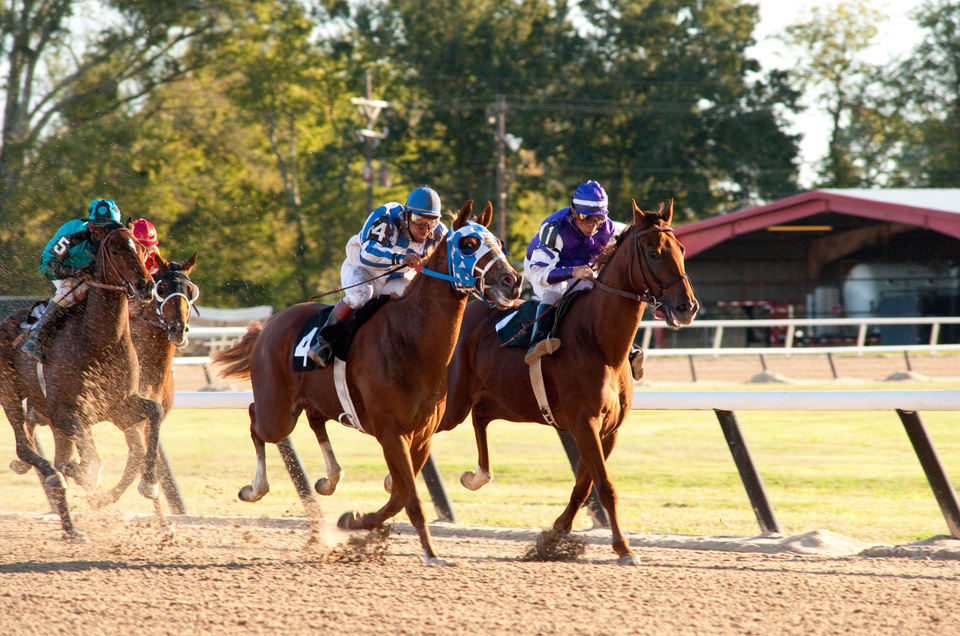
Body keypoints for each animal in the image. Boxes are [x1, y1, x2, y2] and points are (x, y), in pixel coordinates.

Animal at [0, 221, 159, 540]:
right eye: (115, 250)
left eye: (142, 248)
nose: (146, 286)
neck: (99, 341)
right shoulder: (66, 412)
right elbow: (91, 465)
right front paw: (82, 473)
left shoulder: (118, 407)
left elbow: (155, 411)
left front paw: (149, 483)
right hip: (10, 394)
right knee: (26, 448)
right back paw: (54, 479)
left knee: (55, 457)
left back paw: (71, 529)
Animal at [214, 201, 520, 564]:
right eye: (468, 243)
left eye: (498, 242)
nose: (513, 281)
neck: (411, 340)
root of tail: (268, 325)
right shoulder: (392, 433)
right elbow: (410, 497)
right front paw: (431, 553)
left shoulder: (421, 436)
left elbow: (400, 496)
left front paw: (355, 521)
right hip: (278, 412)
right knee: (255, 420)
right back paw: (254, 489)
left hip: (316, 400)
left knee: (314, 420)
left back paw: (330, 479)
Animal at [436, 200, 696, 568]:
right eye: (653, 252)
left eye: (681, 249)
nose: (686, 307)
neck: (600, 341)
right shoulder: (584, 422)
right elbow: (605, 486)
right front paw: (624, 548)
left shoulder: (608, 429)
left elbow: (585, 485)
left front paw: (554, 537)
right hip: (452, 402)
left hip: (496, 400)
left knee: (480, 419)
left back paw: (476, 476)